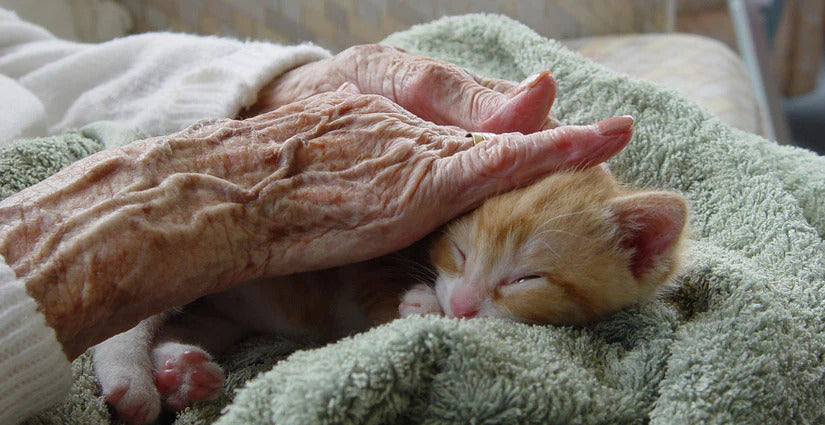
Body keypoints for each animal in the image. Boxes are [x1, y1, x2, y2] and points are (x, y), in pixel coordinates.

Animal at [91, 165, 688, 424]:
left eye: (526, 279)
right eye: (461, 251)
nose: (462, 306)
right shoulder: (368, 247)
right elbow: (380, 284)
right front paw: (418, 305)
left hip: (221, 312)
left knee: (187, 326)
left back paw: (182, 371)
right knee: (124, 324)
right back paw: (132, 381)